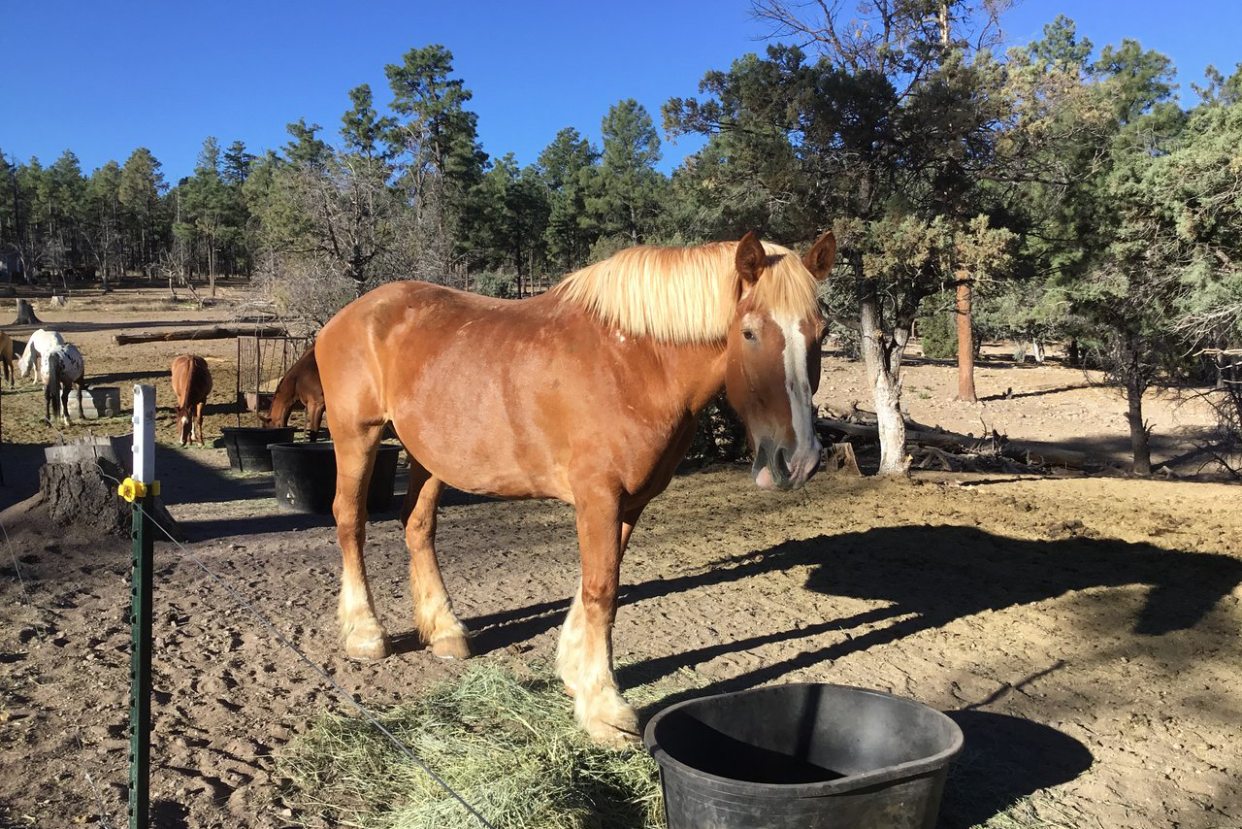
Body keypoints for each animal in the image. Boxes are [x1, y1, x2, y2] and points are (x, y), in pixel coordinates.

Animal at [312, 228, 834, 745]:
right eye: (749, 333)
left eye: (822, 333)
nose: (798, 459)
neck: (636, 360)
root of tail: (349, 315)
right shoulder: (598, 496)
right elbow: (603, 590)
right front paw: (605, 707)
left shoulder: (630, 501)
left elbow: (596, 584)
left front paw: (574, 671)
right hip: (357, 436)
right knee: (350, 520)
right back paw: (365, 633)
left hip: (429, 455)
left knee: (417, 526)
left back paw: (444, 630)